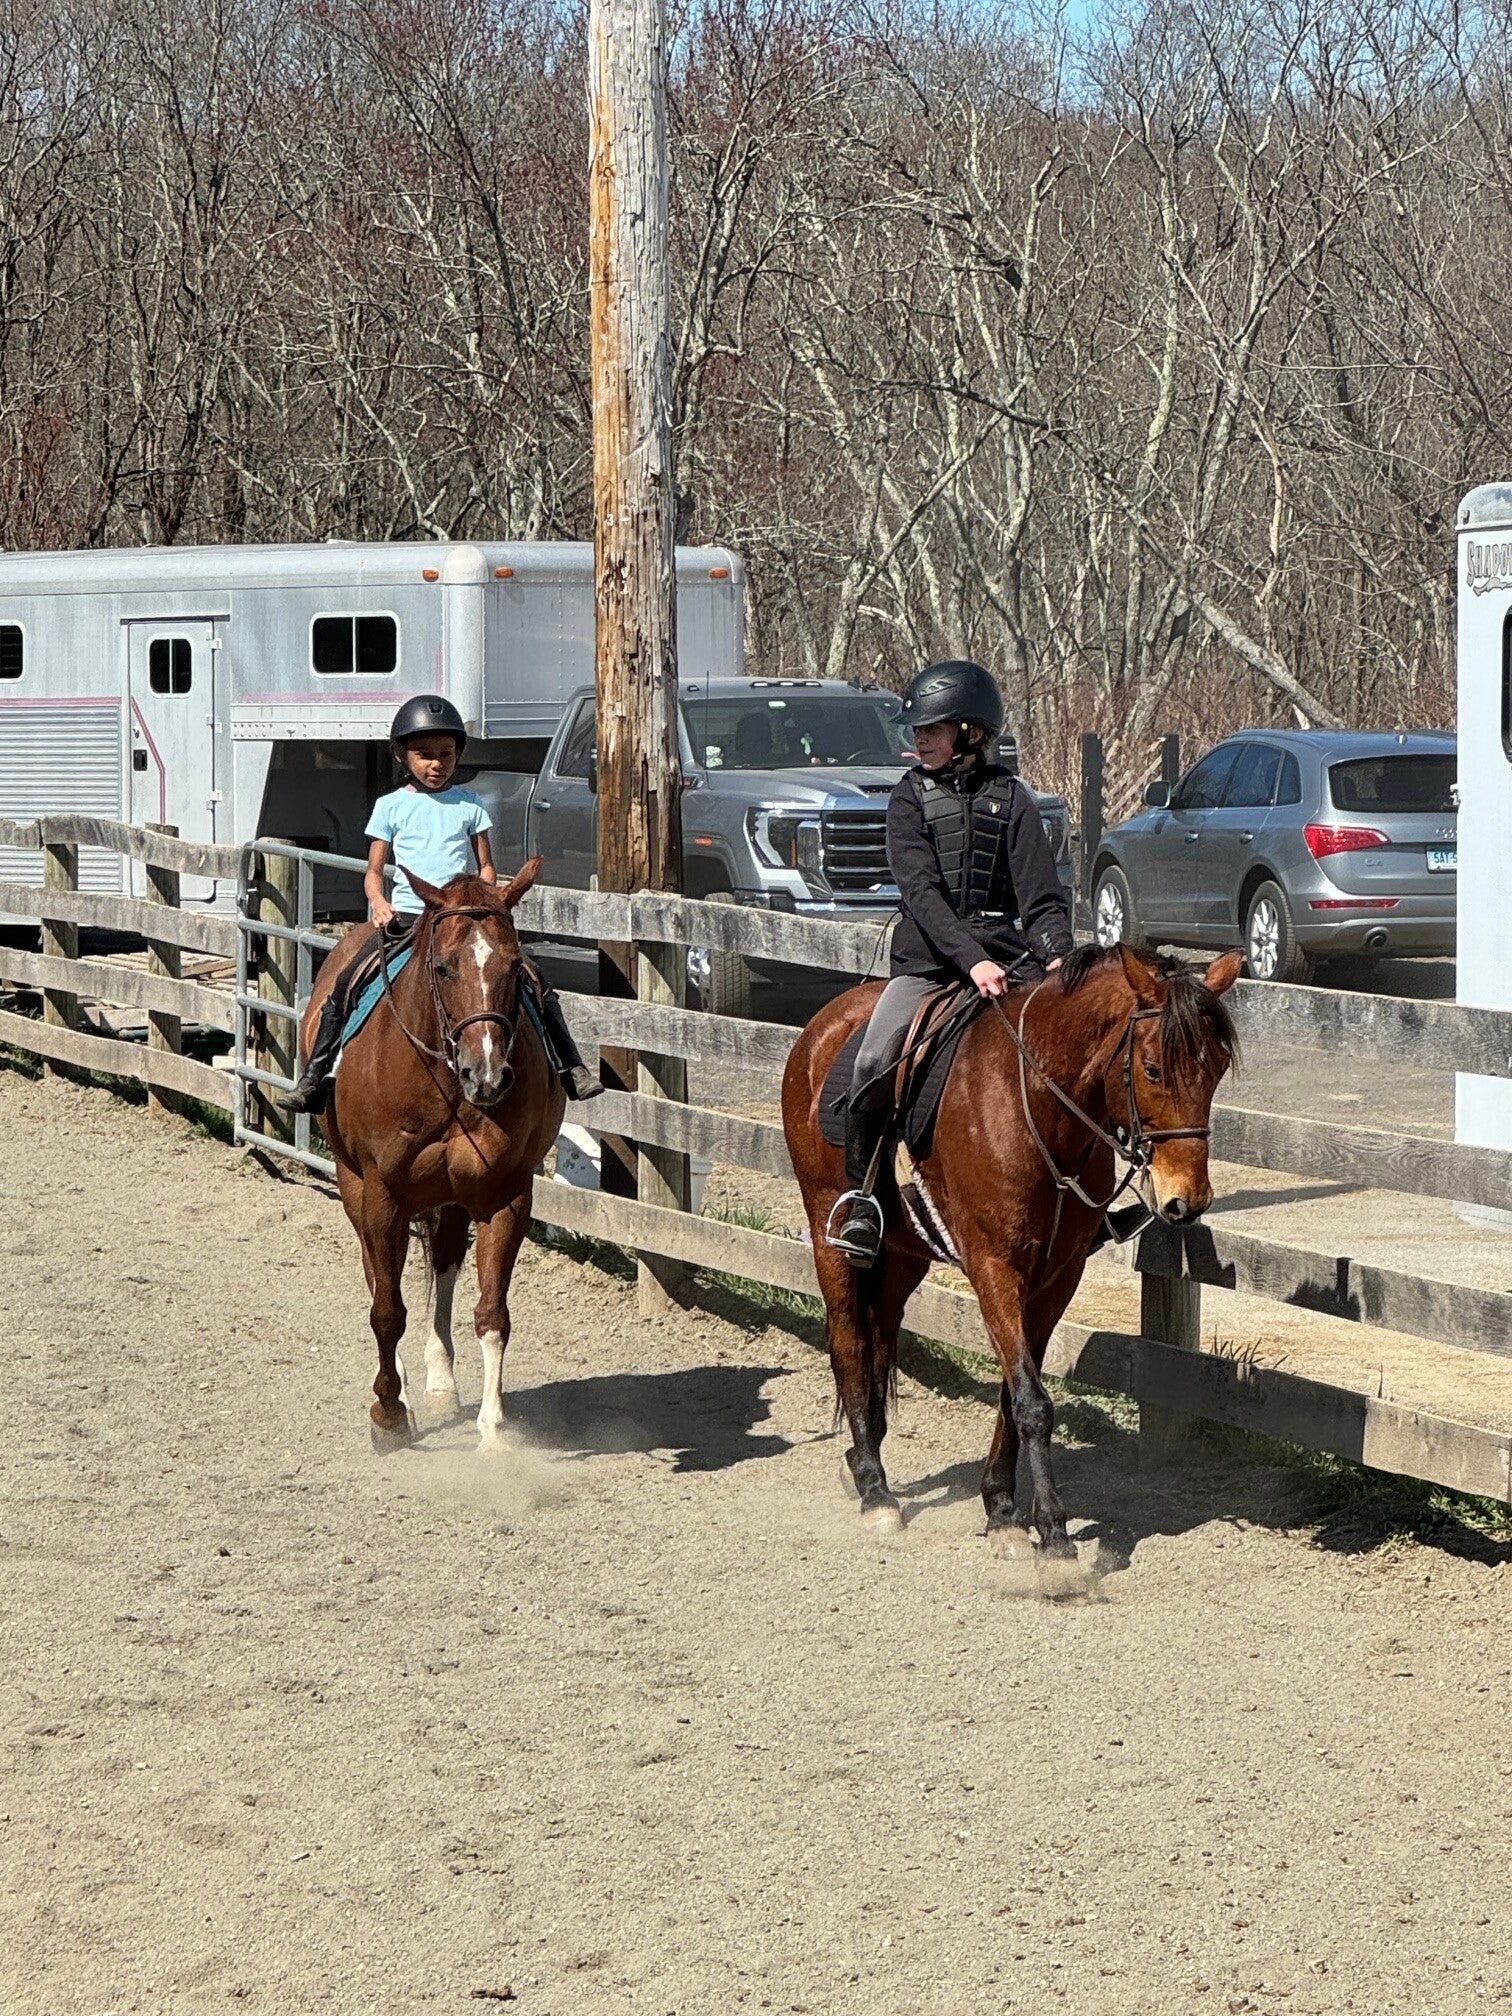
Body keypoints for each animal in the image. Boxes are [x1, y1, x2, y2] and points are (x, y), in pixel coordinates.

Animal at [301, 859, 565, 1448]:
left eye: (516, 967)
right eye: (442, 968)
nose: (486, 1074)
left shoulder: (504, 1196)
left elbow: (492, 1314)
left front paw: (492, 1432)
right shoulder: (381, 1194)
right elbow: (386, 1310)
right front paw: (388, 1413)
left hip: (450, 1197)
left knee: (443, 1265)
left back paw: (440, 1376)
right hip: (355, 1188)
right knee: (378, 1275)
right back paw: (397, 1385)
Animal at [782, 942, 1242, 1555]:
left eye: (1217, 1070)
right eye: (1151, 1069)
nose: (1186, 1201)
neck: (1038, 1107)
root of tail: (821, 1025)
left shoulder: (1056, 1276)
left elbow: (1016, 1389)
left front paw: (1001, 1506)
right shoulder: (994, 1267)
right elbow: (1032, 1400)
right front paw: (1055, 1535)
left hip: (905, 1251)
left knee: (880, 1331)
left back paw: (864, 1457)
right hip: (826, 1226)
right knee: (850, 1340)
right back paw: (875, 1491)